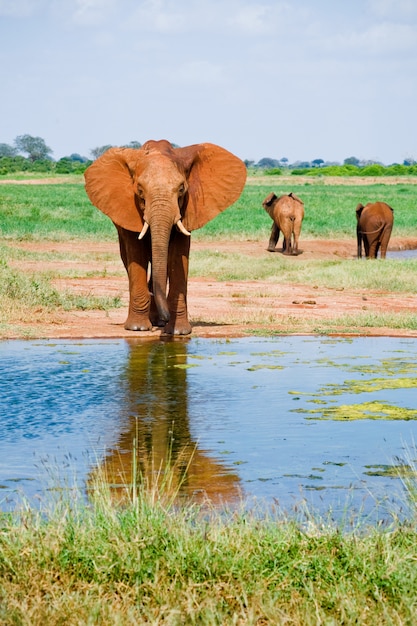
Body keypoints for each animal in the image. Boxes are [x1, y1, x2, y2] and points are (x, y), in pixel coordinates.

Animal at [85, 139, 247, 334]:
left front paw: (178, 331)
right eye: (140, 190)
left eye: (181, 189)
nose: (166, 317)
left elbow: (177, 257)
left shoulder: (185, 210)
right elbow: (136, 254)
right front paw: (138, 328)